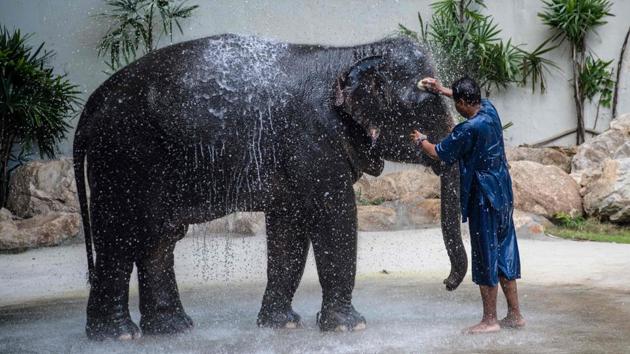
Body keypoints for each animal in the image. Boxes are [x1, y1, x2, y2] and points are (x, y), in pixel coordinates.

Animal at [74, 33, 470, 340]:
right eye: (426, 103)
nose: (447, 283)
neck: (350, 53)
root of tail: (91, 104)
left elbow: (289, 228)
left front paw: (282, 326)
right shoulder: (313, 141)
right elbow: (335, 215)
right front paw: (350, 328)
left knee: (159, 235)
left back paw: (173, 328)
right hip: (124, 154)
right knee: (121, 233)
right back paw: (118, 335)